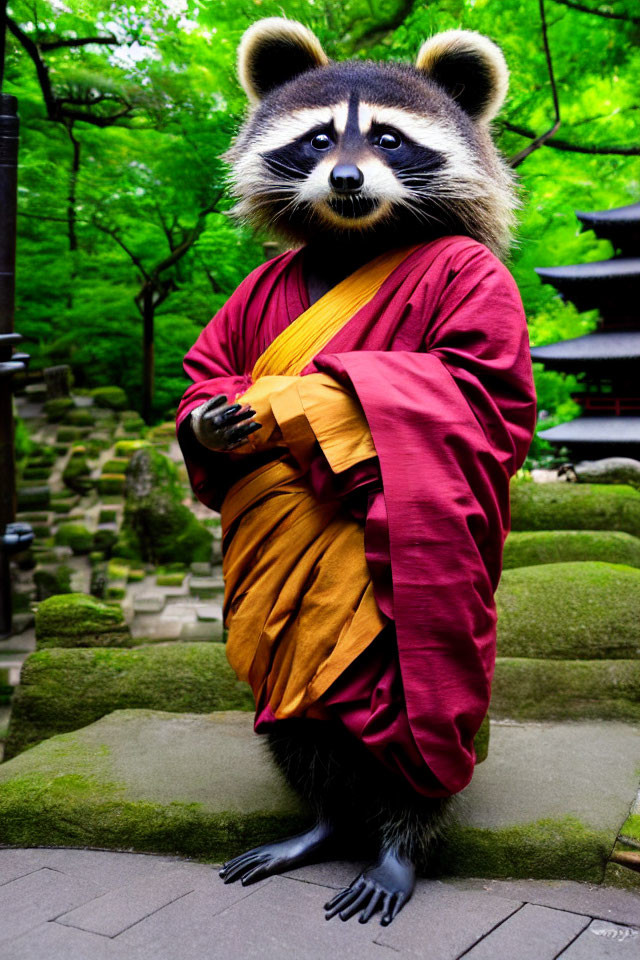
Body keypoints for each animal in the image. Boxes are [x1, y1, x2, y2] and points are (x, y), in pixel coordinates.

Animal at [216, 16, 520, 928]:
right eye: (319, 139)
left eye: (387, 137)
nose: (345, 179)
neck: (360, 233)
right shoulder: (255, 292)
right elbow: (208, 366)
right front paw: (213, 416)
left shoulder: (481, 291)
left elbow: (470, 380)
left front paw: (302, 393)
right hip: (278, 637)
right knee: (295, 719)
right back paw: (322, 818)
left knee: (421, 721)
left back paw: (398, 838)